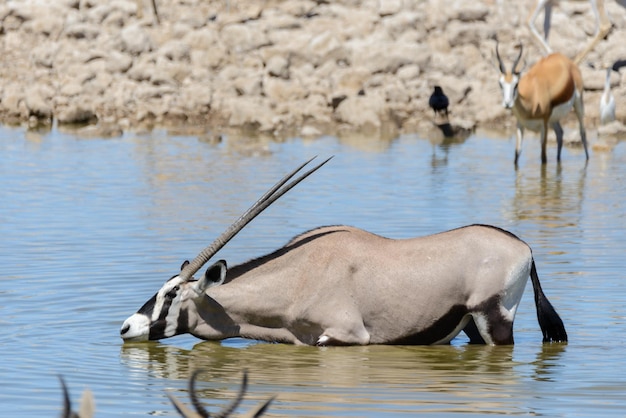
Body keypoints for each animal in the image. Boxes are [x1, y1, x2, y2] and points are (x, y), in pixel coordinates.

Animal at [119, 157, 568, 346]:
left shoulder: (345, 337)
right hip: (471, 324)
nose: (126, 328)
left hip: (495, 320)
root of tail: (523, 246)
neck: (297, 278)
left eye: (172, 295)